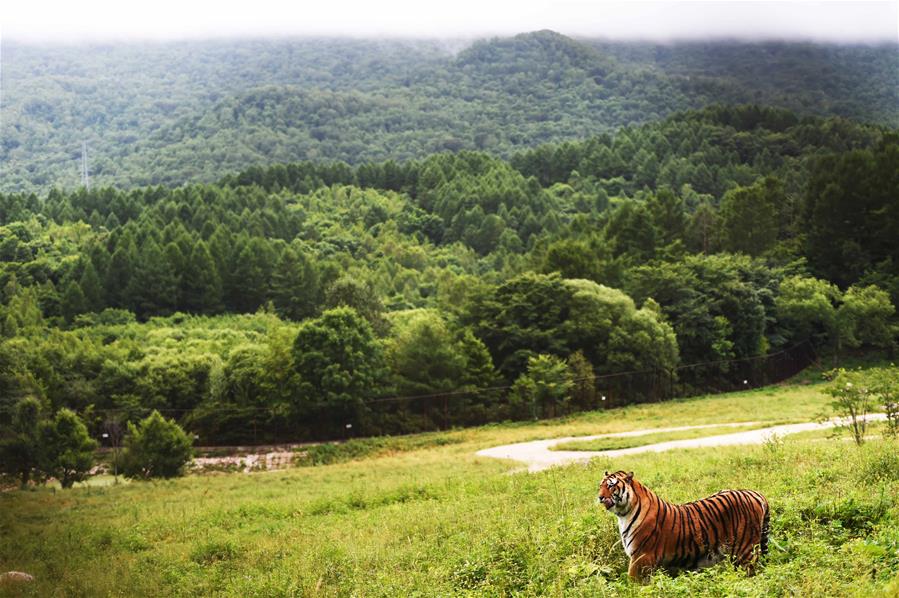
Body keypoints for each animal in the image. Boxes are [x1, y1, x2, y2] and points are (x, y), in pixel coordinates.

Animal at [600, 472, 768, 584]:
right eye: (600, 486)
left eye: (611, 485)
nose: (600, 497)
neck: (624, 514)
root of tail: (755, 493)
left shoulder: (640, 557)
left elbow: (634, 584)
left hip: (745, 551)